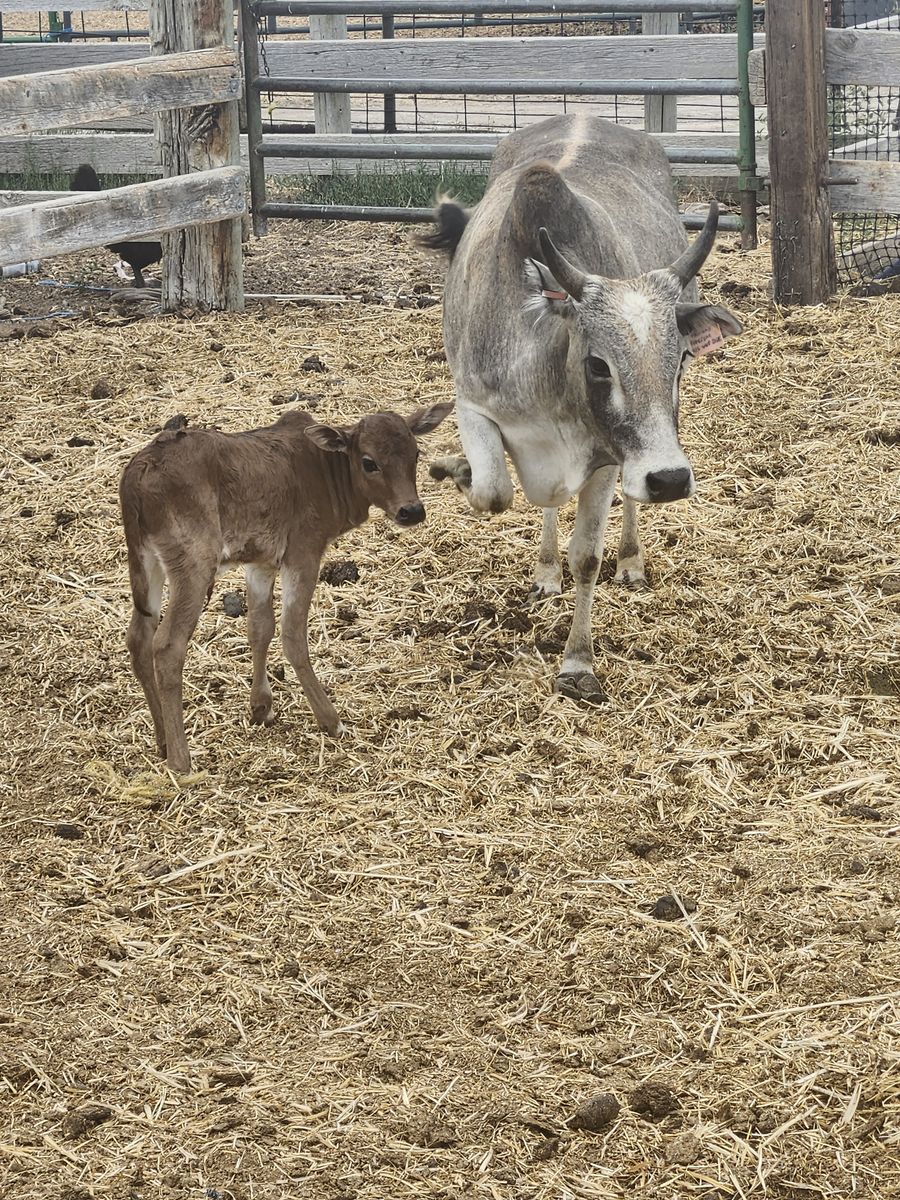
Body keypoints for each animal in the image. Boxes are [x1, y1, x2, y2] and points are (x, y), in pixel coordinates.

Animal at [120, 403, 451, 774]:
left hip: (148, 561)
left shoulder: (260, 560)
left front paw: (261, 706)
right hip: (192, 562)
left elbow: (259, 627)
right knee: (167, 646)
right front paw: (330, 720)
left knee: (139, 636)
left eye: (416, 453)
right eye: (369, 462)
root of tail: (136, 474)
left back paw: (162, 738)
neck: (324, 470)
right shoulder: (303, 552)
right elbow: (292, 634)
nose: (412, 511)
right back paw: (180, 759)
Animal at [421, 113, 743, 704]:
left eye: (680, 360)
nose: (670, 479)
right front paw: (453, 469)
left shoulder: (611, 457)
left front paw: (576, 663)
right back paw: (545, 570)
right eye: (598, 364)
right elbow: (493, 491)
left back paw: (631, 560)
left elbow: (588, 556)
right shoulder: (473, 406)